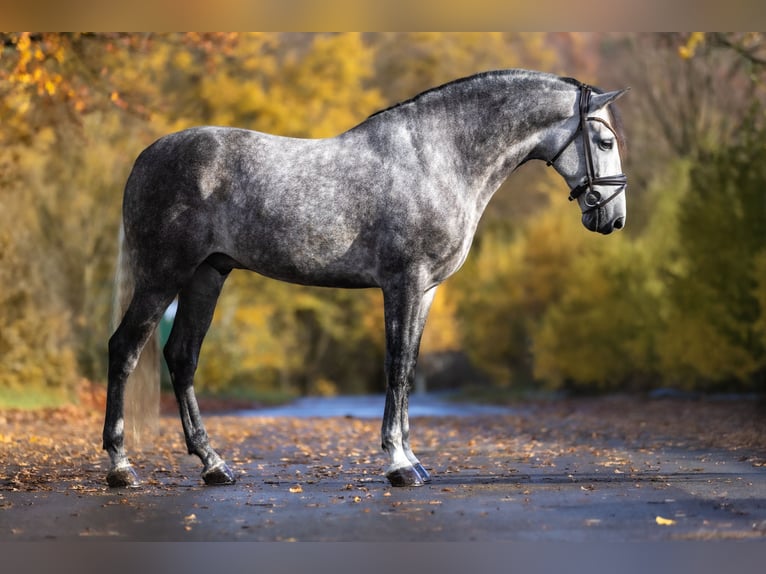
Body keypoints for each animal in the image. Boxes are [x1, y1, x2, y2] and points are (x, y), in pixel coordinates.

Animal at [103, 69, 628, 488]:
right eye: (605, 142)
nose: (613, 218)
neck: (438, 158)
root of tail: (145, 158)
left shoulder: (426, 291)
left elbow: (410, 368)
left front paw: (413, 460)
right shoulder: (404, 282)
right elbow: (395, 367)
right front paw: (399, 465)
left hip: (206, 275)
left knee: (182, 356)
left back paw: (214, 465)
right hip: (162, 275)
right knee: (125, 348)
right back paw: (121, 468)